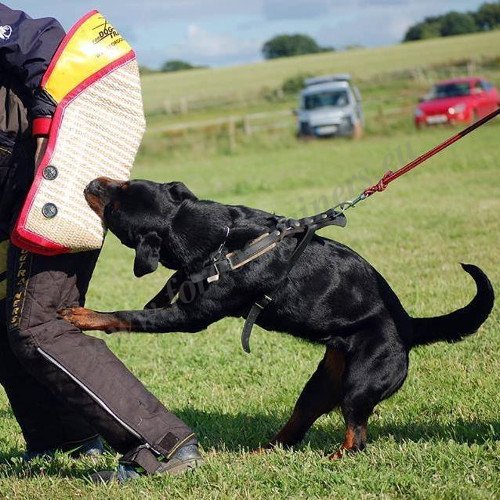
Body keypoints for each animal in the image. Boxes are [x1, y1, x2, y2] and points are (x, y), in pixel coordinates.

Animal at [60, 178, 494, 458]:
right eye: (122, 185)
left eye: (116, 205)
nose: (95, 181)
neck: (217, 238)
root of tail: (407, 325)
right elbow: (170, 284)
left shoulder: (192, 317)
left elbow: (129, 316)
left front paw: (84, 315)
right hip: (320, 386)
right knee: (295, 428)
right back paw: (261, 452)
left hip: (361, 383)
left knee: (357, 436)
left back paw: (335, 458)